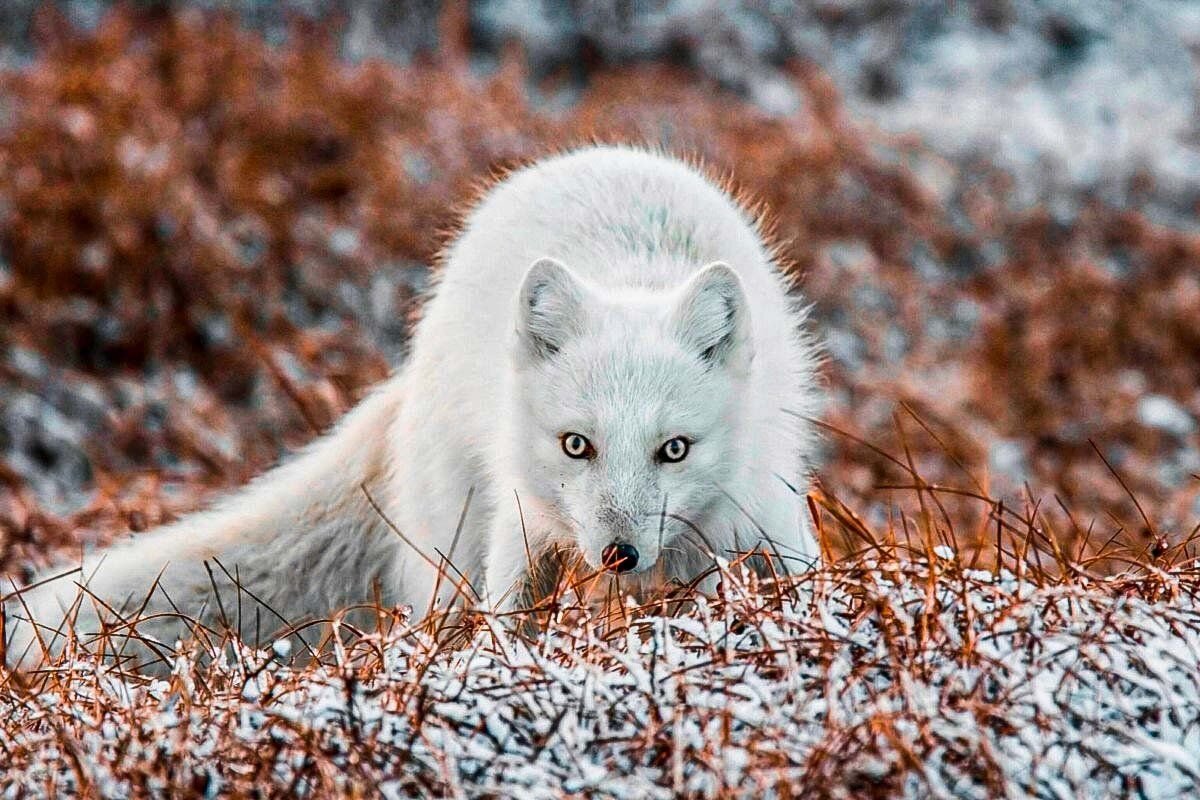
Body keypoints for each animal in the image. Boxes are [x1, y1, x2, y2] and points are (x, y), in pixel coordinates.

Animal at [0, 145, 820, 671]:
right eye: (576, 445)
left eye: (673, 449)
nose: (619, 554)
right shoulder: (523, 527)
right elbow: (507, 624)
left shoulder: (762, 514)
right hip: (456, 539)